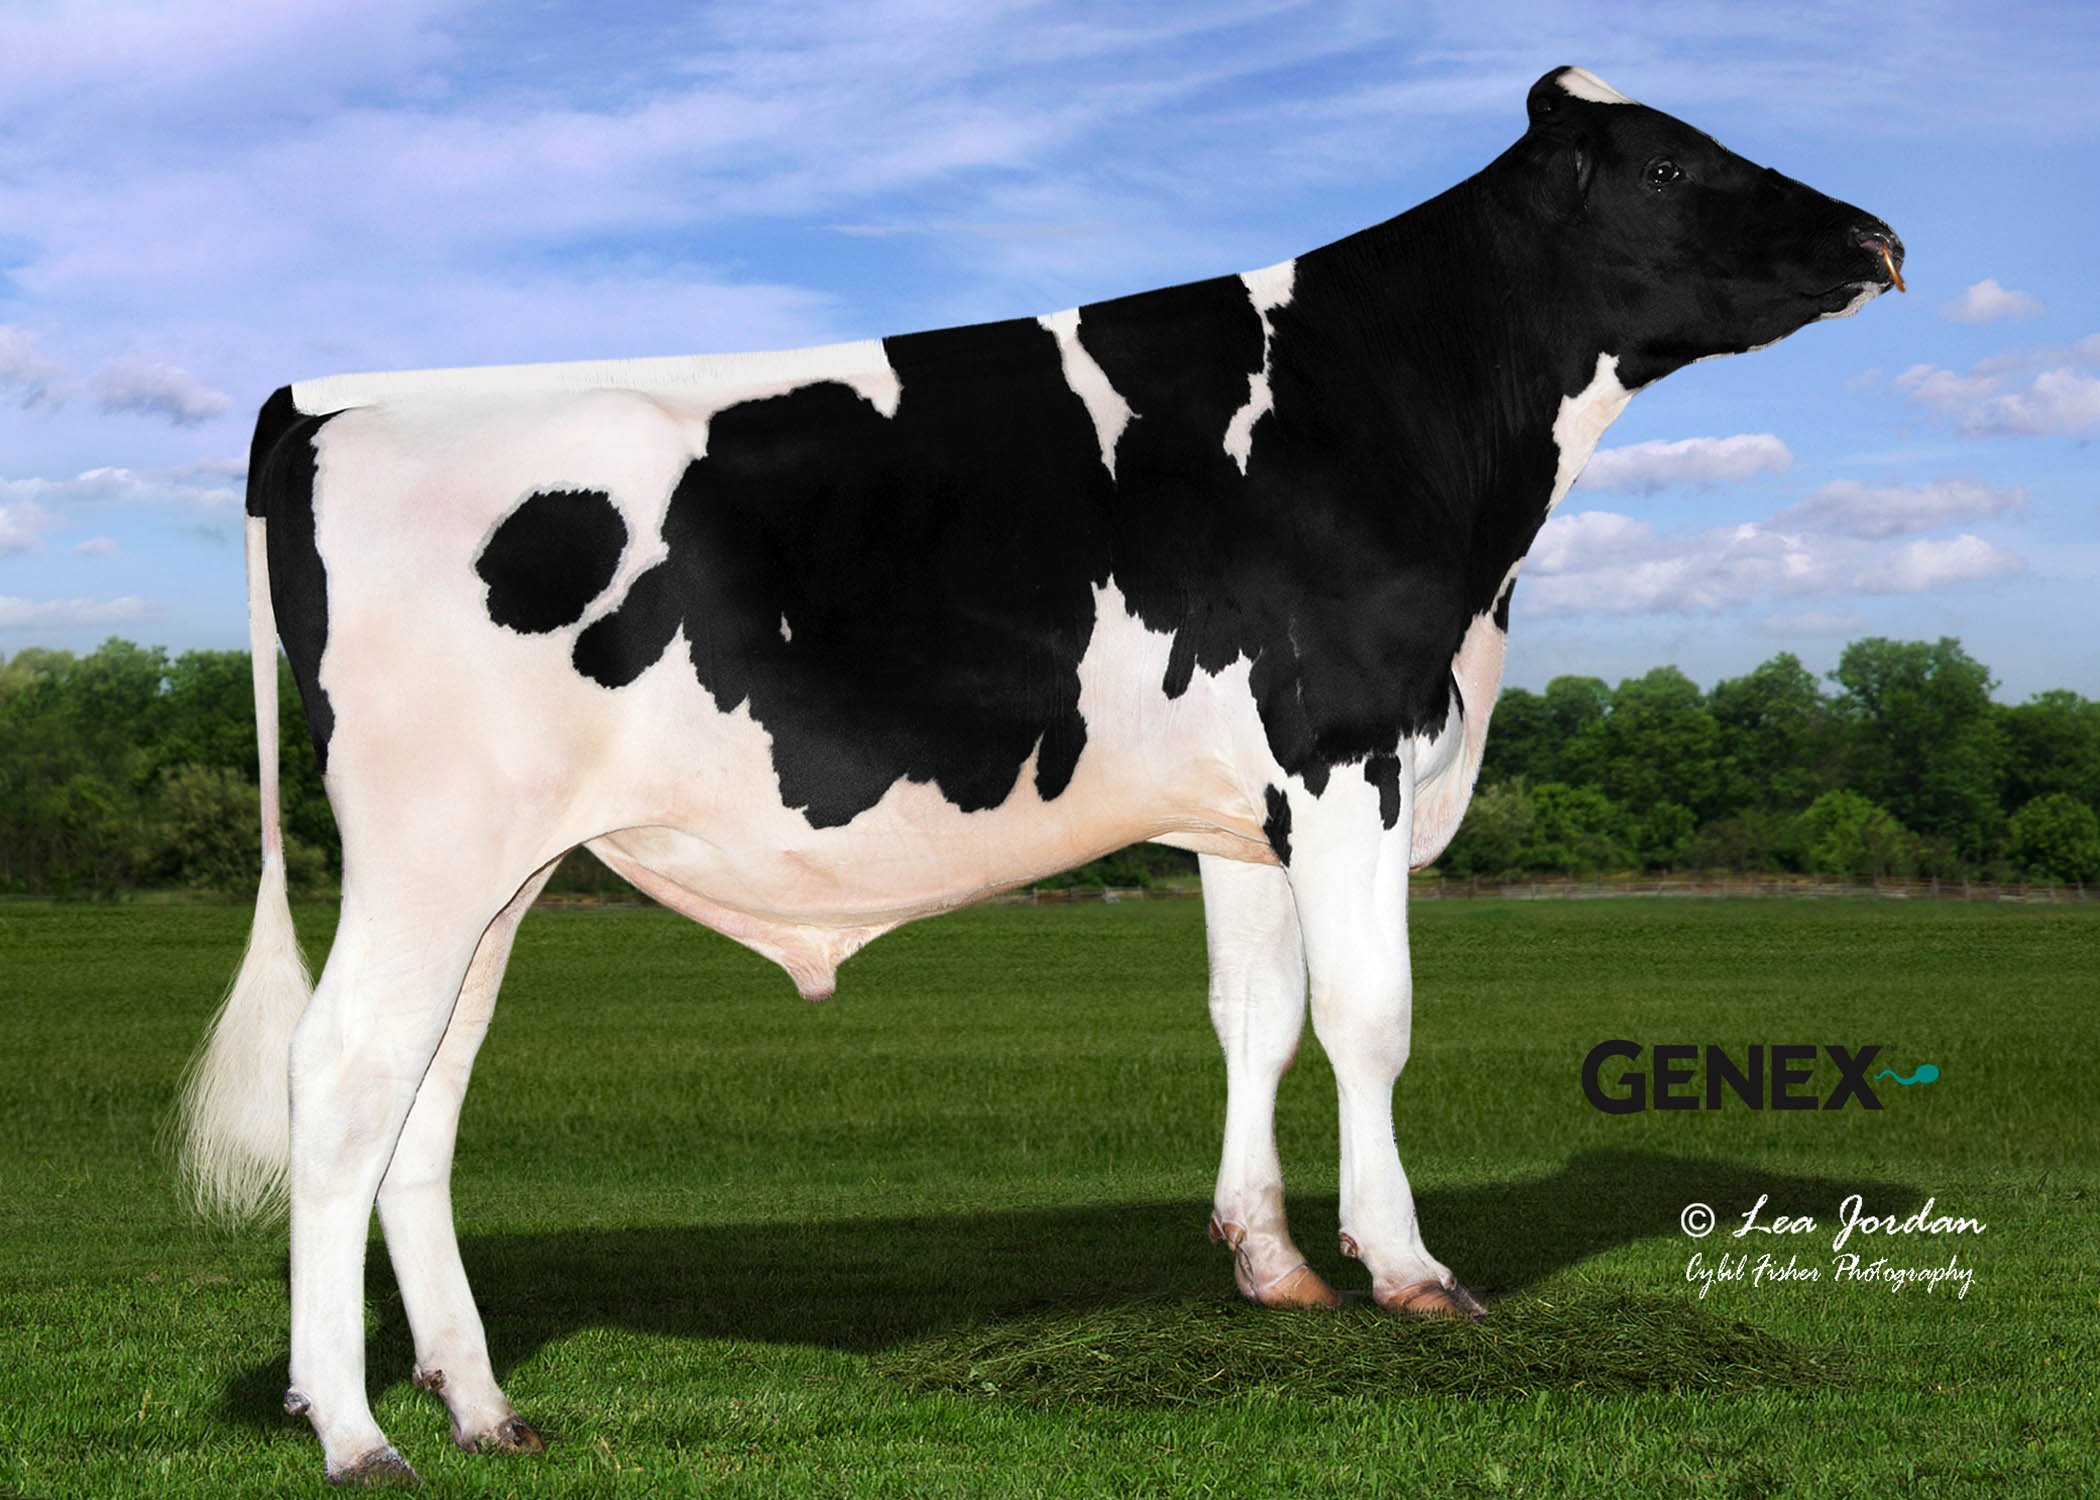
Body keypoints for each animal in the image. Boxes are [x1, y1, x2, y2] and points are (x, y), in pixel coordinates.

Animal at [181, 66, 1901, 1483]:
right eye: (1671, 166)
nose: (1882, 237)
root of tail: (333, 399)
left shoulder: (1245, 811)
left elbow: (1257, 1016)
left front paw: (1272, 1267)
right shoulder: (1346, 754)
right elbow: (1371, 1018)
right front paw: (1410, 1271)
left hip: (500, 872)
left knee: (425, 1098)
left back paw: (483, 1406)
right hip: (428, 850)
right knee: (342, 1076)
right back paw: (354, 1433)